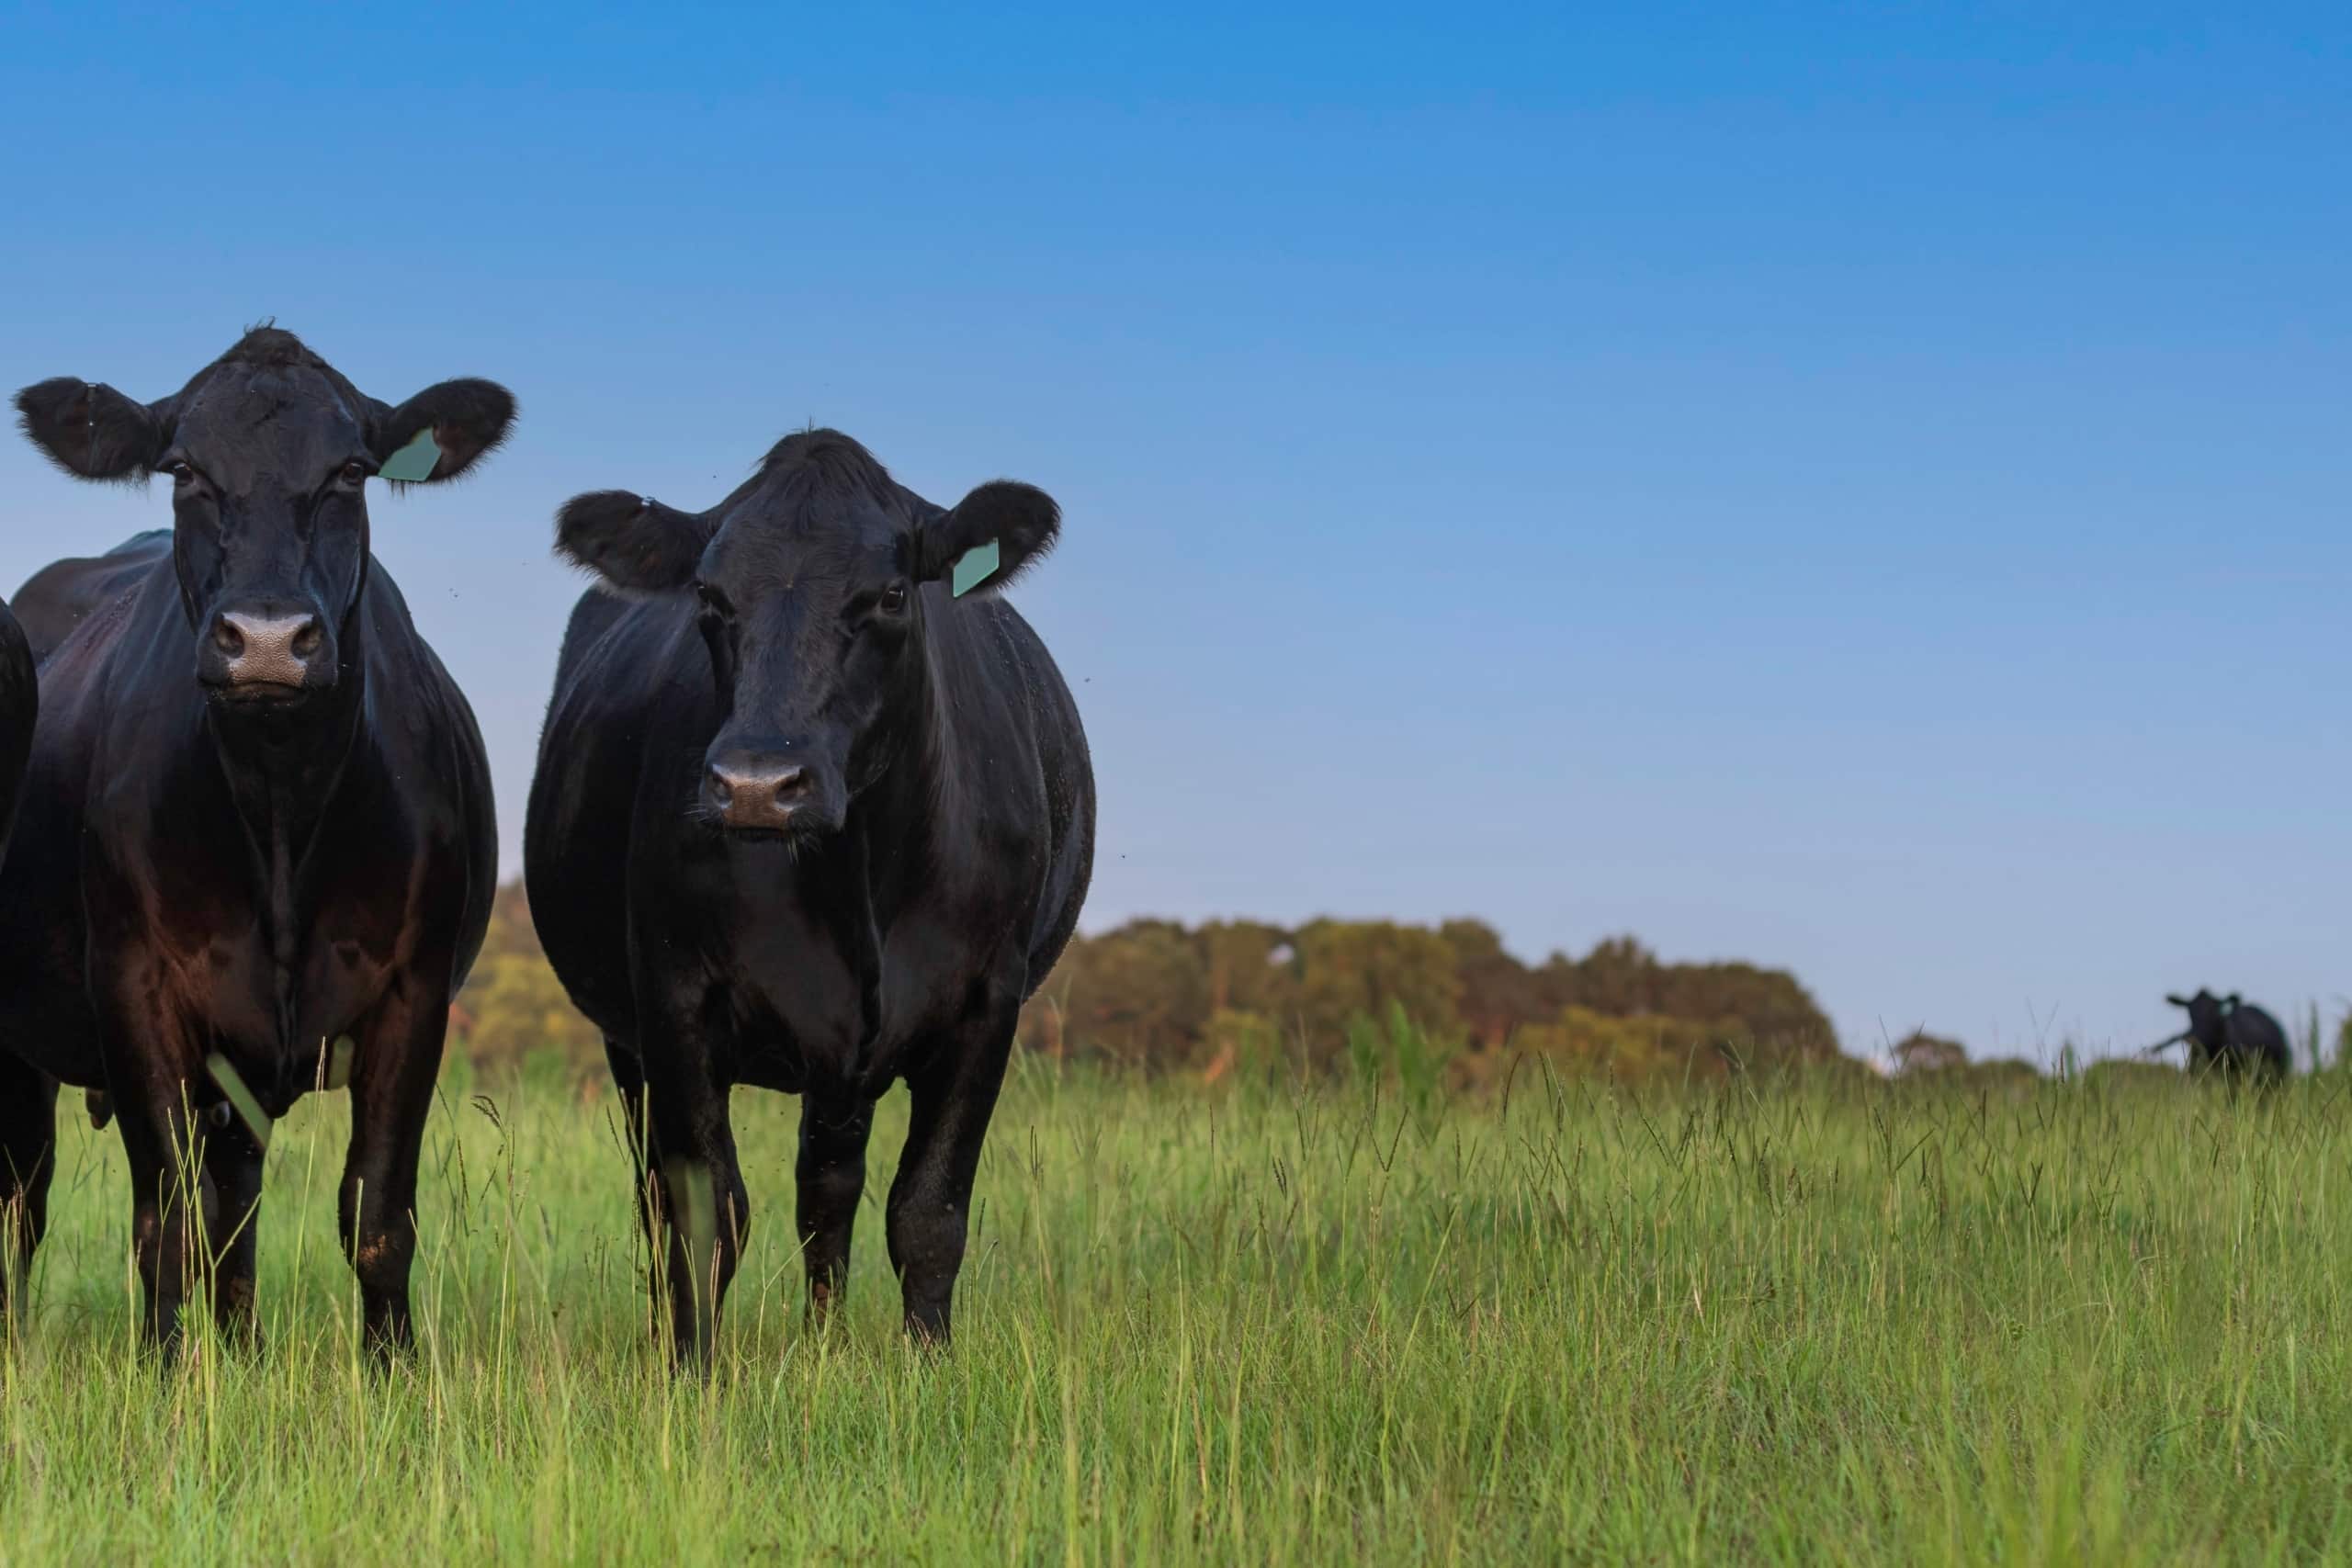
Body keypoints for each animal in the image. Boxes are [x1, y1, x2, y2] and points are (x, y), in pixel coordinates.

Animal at [0, 329, 513, 1354]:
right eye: (185, 470)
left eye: (350, 470)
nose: (269, 640)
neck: (280, 812)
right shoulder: (134, 985)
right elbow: (164, 1219)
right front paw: (163, 1373)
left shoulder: (415, 992)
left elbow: (376, 1217)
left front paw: (391, 1371)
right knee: (26, 1199)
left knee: (233, 1204)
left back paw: (241, 1349)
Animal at [524, 430, 1091, 1363]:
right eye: (709, 594)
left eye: (891, 593)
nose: (757, 784)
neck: (853, 879)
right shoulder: (672, 999)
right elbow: (705, 1213)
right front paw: (690, 1371)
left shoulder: (986, 1004)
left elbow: (927, 1211)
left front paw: (929, 1368)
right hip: (631, 1042)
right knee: (669, 1196)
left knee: (828, 1190)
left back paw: (824, 1343)